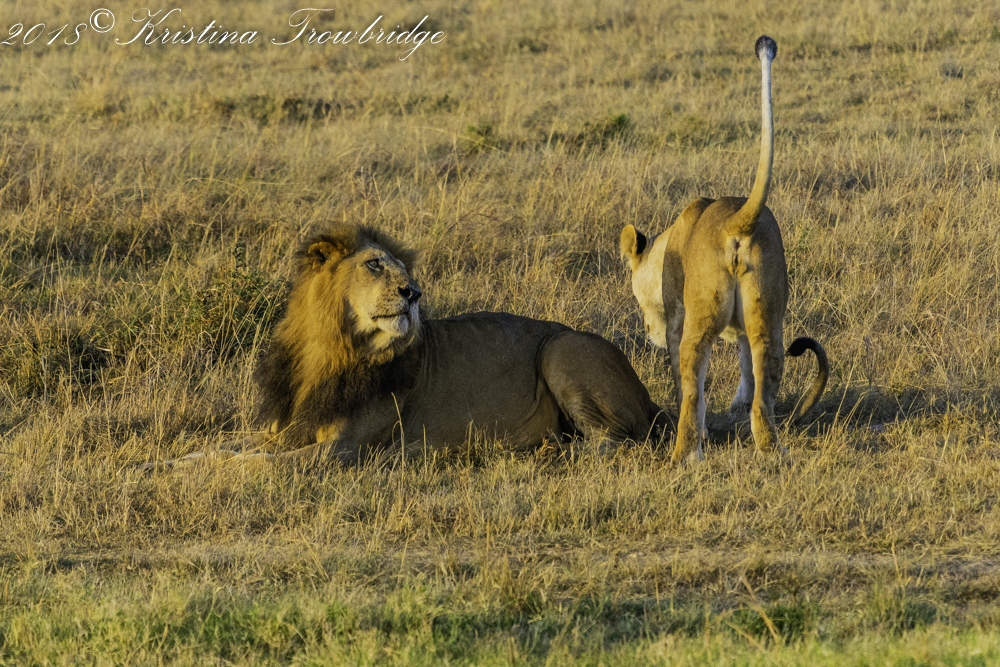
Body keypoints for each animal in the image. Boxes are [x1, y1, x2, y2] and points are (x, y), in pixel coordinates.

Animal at [146, 223, 670, 470]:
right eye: (375, 265)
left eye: (404, 271)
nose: (413, 293)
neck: (329, 349)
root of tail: (651, 400)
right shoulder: (290, 429)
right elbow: (220, 447)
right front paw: (158, 463)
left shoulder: (344, 449)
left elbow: (256, 464)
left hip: (561, 349)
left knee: (614, 444)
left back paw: (539, 453)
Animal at [618, 35, 829, 464]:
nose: (648, 333)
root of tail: (737, 222)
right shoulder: (749, 330)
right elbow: (747, 371)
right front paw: (737, 406)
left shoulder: (676, 317)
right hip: (769, 318)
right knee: (764, 388)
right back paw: (770, 449)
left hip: (698, 322)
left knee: (691, 389)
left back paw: (687, 454)